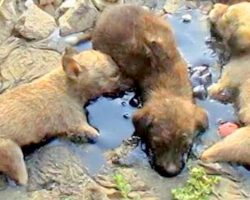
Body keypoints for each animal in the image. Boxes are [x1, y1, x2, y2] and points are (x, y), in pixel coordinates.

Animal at [0, 49, 126, 185]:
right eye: (114, 75)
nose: (129, 85)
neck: (66, 84)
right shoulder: (78, 124)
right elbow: (100, 136)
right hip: (12, 152)